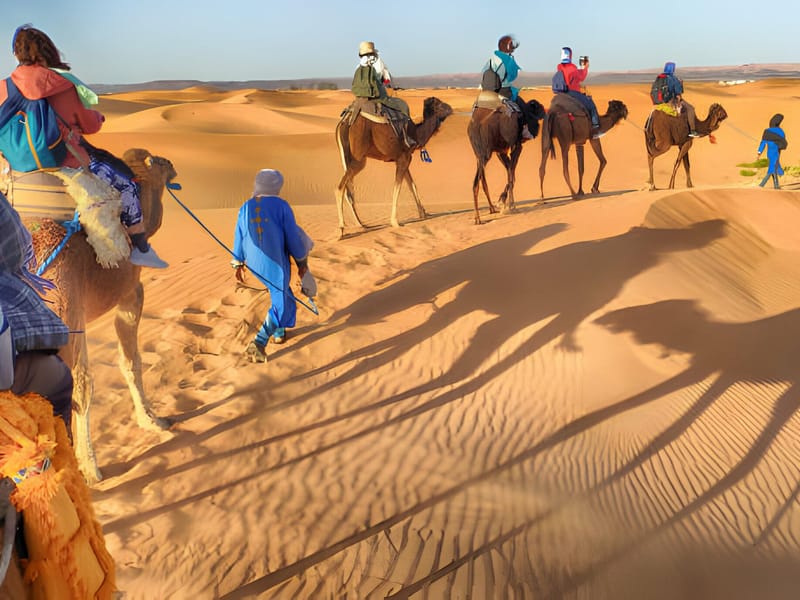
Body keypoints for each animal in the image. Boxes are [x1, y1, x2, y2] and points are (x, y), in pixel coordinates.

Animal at [24, 149, 177, 483]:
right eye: (160, 164)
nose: (172, 164)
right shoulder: (130, 294)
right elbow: (130, 362)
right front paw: (152, 420)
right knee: (73, 388)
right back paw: (87, 470)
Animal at [335, 97, 453, 238]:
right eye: (440, 105)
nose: (451, 109)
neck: (416, 134)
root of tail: (345, 121)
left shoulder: (404, 159)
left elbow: (412, 185)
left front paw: (423, 213)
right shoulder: (403, 158)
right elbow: (398, 187)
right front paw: (395, 222)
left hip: (346, 157)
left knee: (348, 190)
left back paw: (361, 224)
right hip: (359, 158)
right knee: (340, 188)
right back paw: (341, 230)